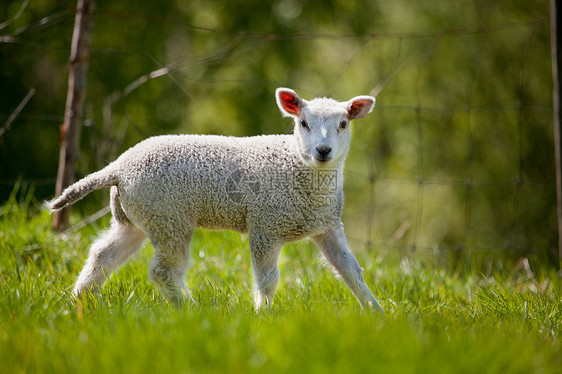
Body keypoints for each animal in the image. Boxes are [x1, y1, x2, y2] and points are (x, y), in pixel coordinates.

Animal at [47, 88, 380, 312]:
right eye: (303, 123)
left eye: (344, 124)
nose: (323, 151)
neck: (300, 167)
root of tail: (119, 166)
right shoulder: (265, 224)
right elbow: (268, 279)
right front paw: (264, 315)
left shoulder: (328, 226)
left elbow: (352, 271)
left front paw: (376, 312)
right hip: (170, 216)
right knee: (164, 271)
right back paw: (191, 310)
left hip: (137, 217)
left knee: (103, 254)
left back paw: (80, 299)